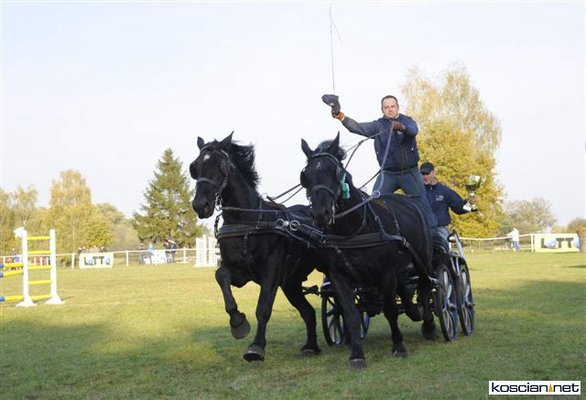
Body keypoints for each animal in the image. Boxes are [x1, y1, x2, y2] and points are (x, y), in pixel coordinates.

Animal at [190, 132, 322, 362]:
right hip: (291, 282)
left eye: (221, 165)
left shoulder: (272, 272)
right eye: (195, 167)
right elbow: (220, 276)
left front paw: (256, 347)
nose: (200, 205)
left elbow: (263, 308)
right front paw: (238, 322)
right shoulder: (239, 272)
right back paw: (310, 346)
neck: (249, 221)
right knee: (308, 312)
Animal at [299, 134, 437, 369]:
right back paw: (413, 311)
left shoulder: (386, 273)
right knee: (406, 290)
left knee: (425, 287)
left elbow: (390, 310)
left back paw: (428, 325)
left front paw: (399, 346)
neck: (353, 230)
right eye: (305, 175)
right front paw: (356, 355)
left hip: (422, 260)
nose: (320, 213)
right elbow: (351, 314)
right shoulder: (339, 277)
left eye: (335, 172)